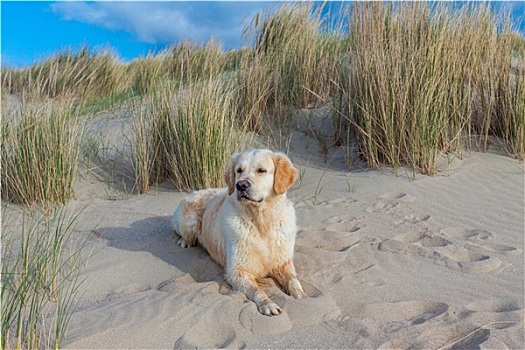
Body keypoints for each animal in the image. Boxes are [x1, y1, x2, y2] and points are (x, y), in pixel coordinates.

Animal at [170, 148, 304, 314]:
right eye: (239, 170)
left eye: (261, 170)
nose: (241, 185)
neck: (261, 221)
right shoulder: (237, 271)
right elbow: (257, 289)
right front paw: (268, 304)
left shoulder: (283, 263)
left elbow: (293, 280)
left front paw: (300, 295)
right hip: (189, 220)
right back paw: (185, 242)